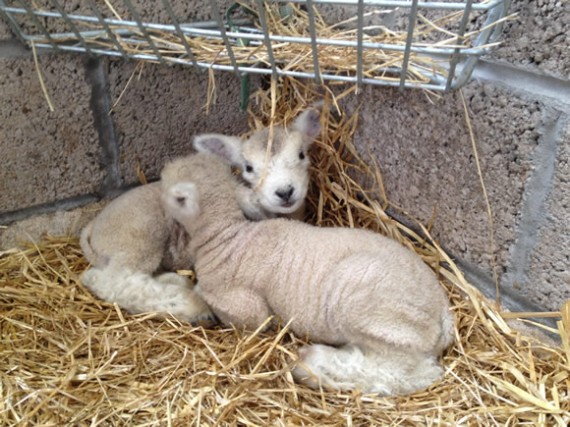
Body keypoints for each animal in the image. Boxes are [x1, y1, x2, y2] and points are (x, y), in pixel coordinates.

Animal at [77, 106, 322, 324]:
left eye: (301, 154)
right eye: (249, 168)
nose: (285, 191)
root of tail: (92, 228)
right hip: (138, 237)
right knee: (114, 282)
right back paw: (191, 307)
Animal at [160, 154, 452, 398]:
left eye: (174, 194)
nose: (160, 174)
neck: (226, 237)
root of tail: (445, 312)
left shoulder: (245, 308)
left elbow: (239, 311)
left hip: (381, 317)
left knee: (404, 373)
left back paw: (312, 365)